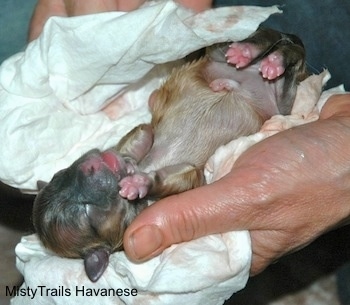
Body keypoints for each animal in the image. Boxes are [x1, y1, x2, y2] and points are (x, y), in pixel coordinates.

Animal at [32, 27, 306, 280]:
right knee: (288, 60)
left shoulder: (145, 136)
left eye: (60, 174)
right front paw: (138, 182)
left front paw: (127, 164)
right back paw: (268, 63)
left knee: (265, 39)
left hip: (218, 56)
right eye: (87, 214)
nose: (92, 165)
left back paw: (249, 53)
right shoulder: (188, 179)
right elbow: (184, 175)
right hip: (279, 104)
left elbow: (145, 131)